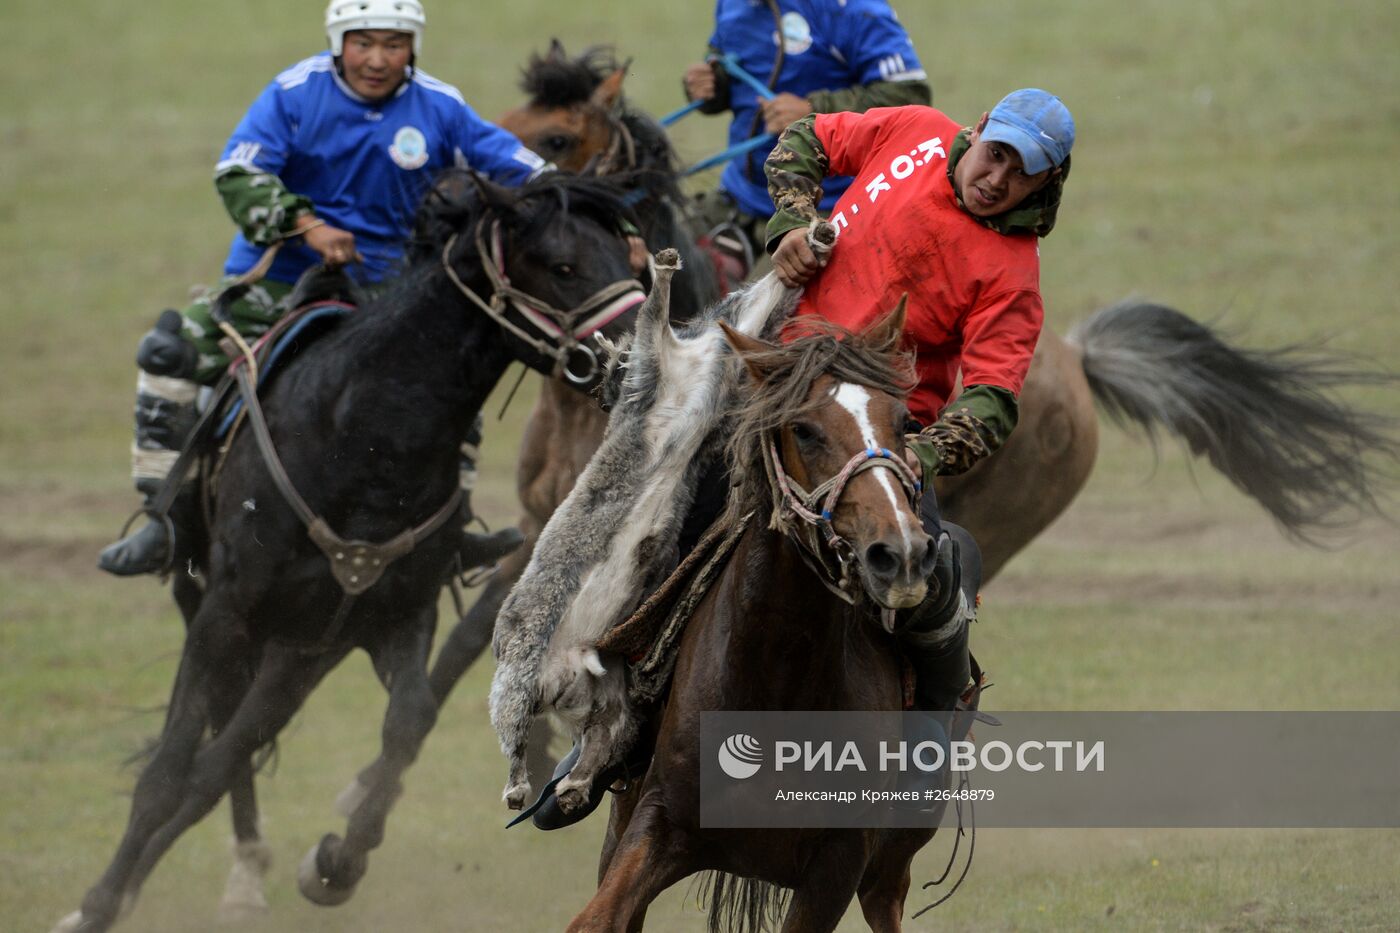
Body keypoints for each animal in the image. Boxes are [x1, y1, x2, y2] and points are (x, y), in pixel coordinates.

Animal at [568, 306, 940, 930]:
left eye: (904, 421)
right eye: (804, 430)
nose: (901, 553)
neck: (776, 679)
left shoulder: (839, 865)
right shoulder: (657, 823)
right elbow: (598, 917)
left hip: (888, 871)